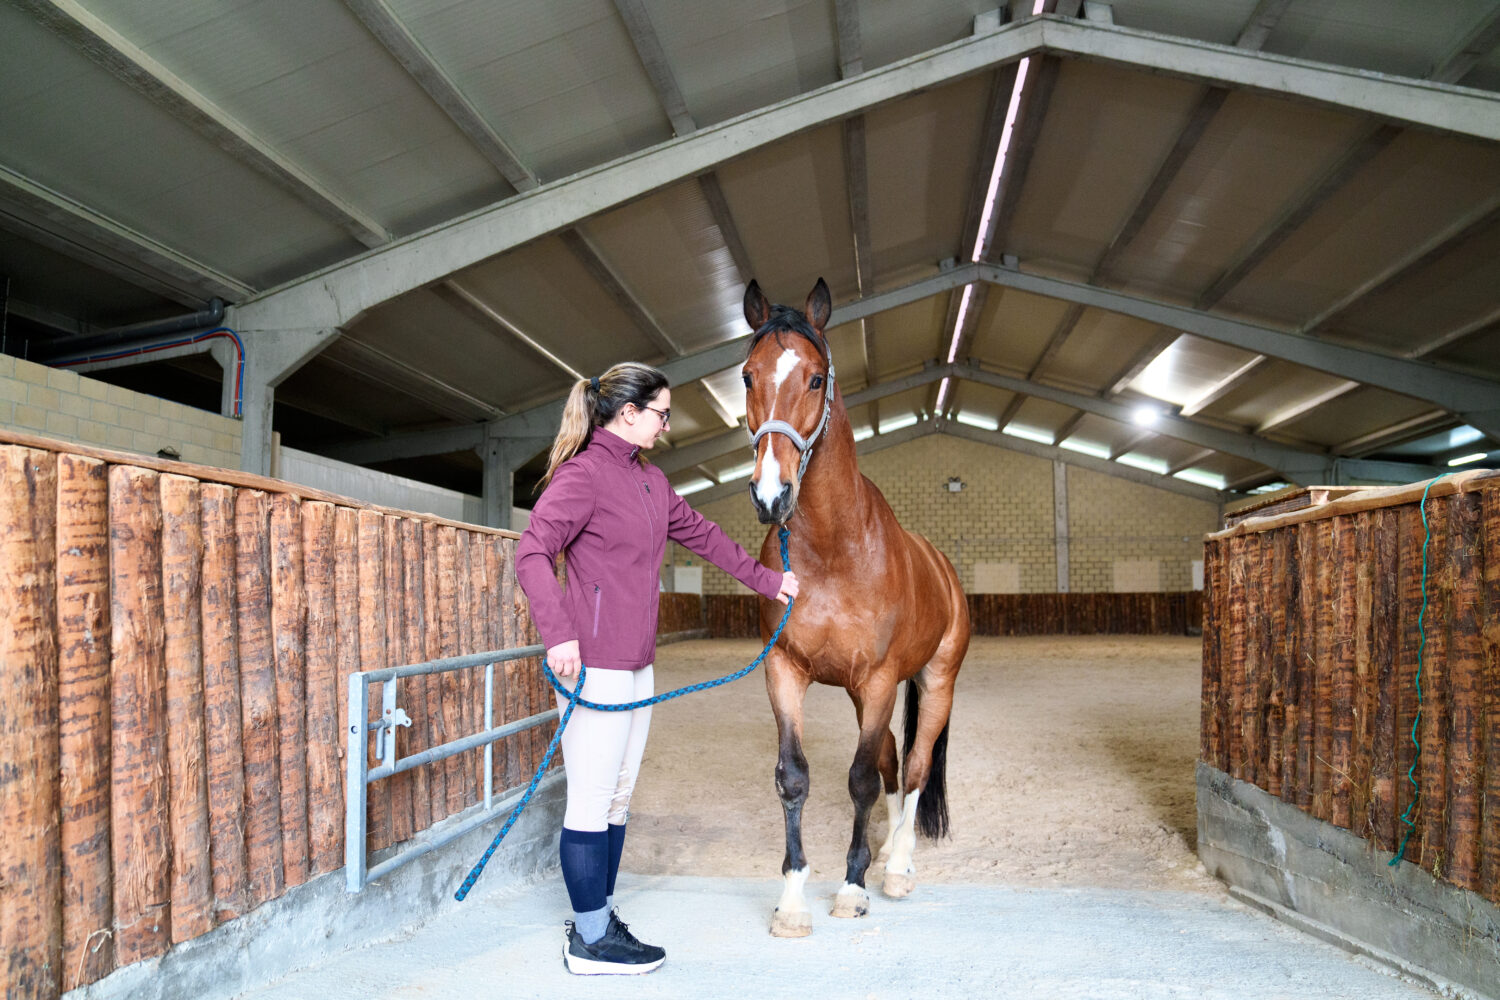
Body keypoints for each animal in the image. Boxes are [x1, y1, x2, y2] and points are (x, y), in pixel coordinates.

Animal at [740, 277, 970, 937]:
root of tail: (942, 567)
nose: (772, 494)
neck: (833, 549)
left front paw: (852, 887)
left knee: (914, 768)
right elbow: (795, 778)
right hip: (861, 693)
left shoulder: (880, 679)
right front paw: (793, 901)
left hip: (933, 683)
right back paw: (889, 850)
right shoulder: (785, 671)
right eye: (747, 375)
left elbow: (862, 780)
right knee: (895, 761)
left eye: (816, 378)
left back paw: (897, 868)